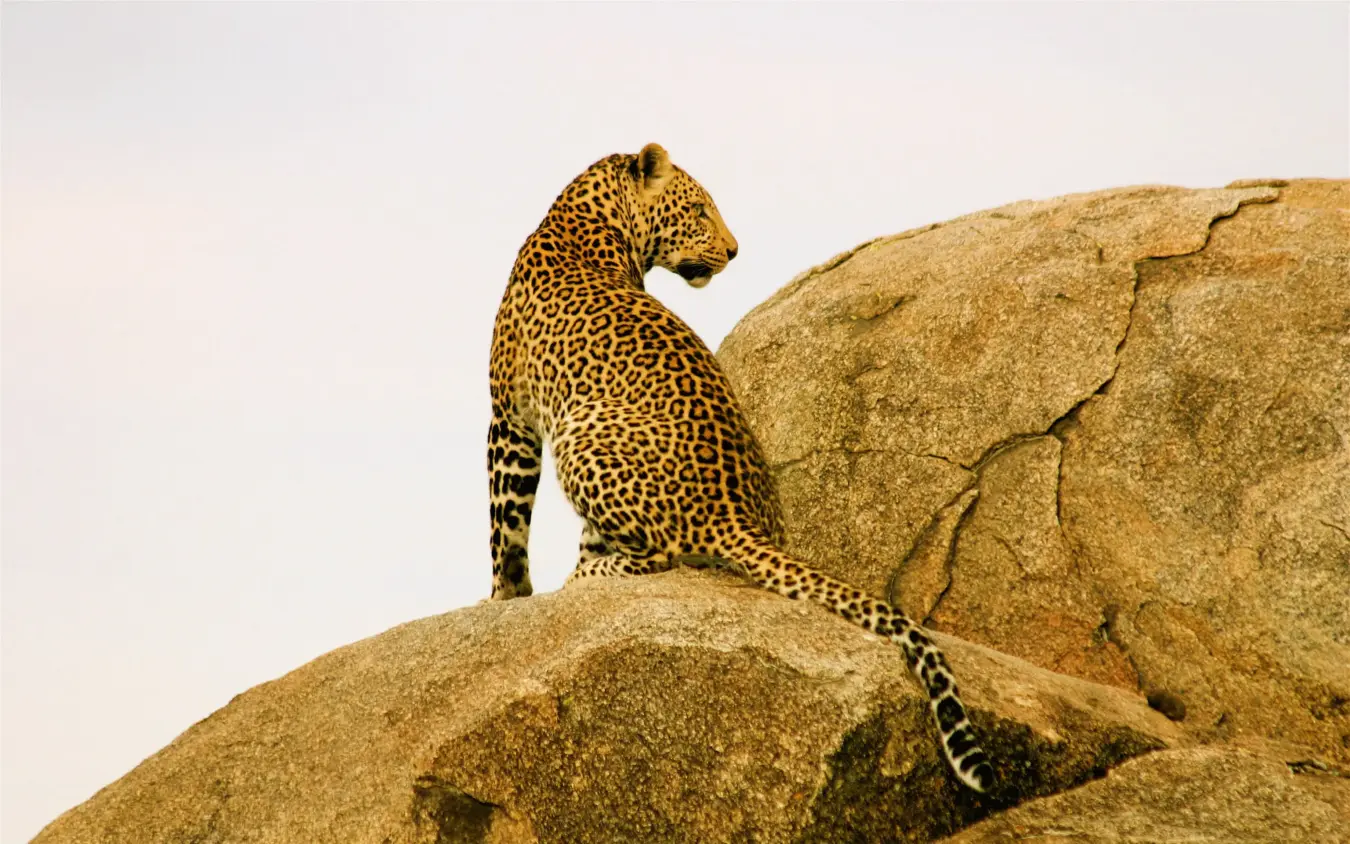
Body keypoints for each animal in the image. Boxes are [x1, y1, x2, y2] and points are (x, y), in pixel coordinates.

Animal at [486, 143, 995, 792]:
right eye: (700, 210)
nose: (733, 251)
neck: (588, 217)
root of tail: (737, 517)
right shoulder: (513, 414)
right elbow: (507, 523)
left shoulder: (511, 418)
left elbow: (505, 526)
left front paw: (502, 599)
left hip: (582, 431)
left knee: (657, 555)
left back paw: (583, 581)